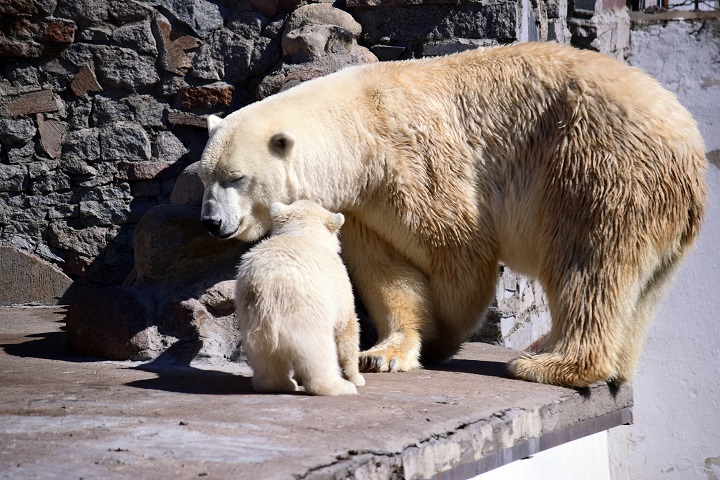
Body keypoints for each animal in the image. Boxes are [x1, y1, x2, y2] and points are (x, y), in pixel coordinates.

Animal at [200, 40, 704, 386]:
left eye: (236, 177)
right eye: (203, 175)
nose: (210, 223)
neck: (360, 128)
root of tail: (689, 144)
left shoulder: (414, 163)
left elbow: (458, 253)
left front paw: (440, 337)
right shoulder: (363, 205)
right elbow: (388, 273)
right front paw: (383, 353)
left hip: (599, 170)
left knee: (589, 263)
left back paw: (548, 364)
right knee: (642, 286)